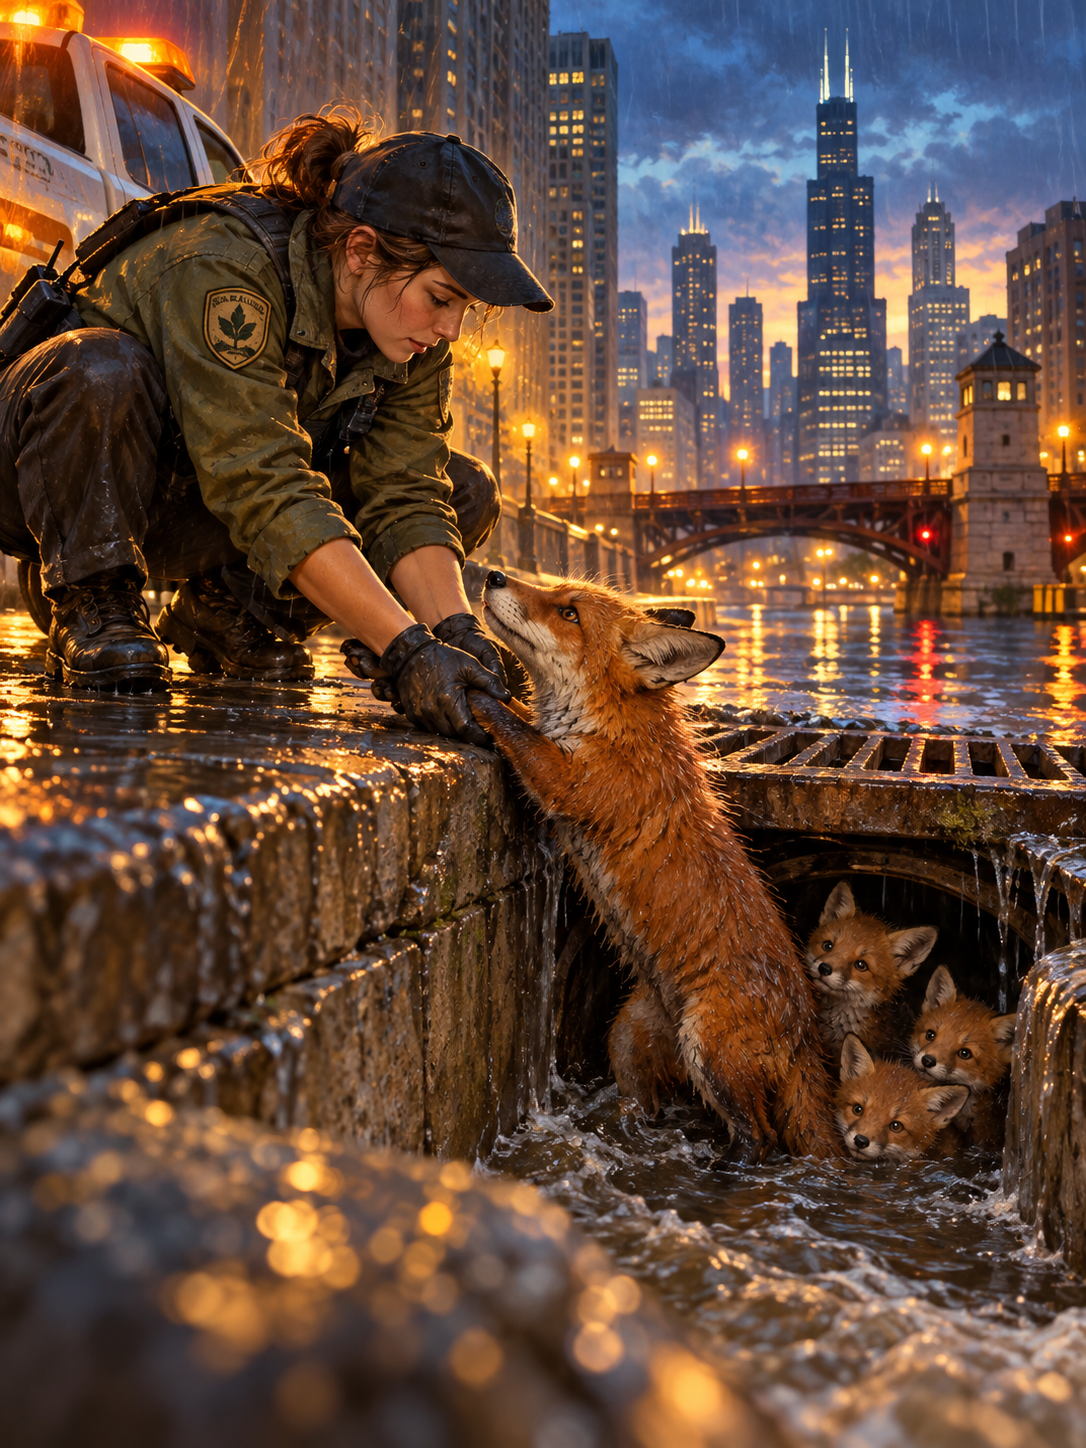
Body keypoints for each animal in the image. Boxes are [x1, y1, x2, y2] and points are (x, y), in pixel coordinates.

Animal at [467, 570, 842, 1161]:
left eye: (569, 613)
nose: (493, 575)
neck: (612, 725)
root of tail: (804, 1031)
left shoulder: (568, 780)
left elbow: (508, 720)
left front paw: (457, 680)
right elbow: (524, 719)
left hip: (709, 1049)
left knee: (758, 1138)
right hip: (629, 1036)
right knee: (649, 1102)